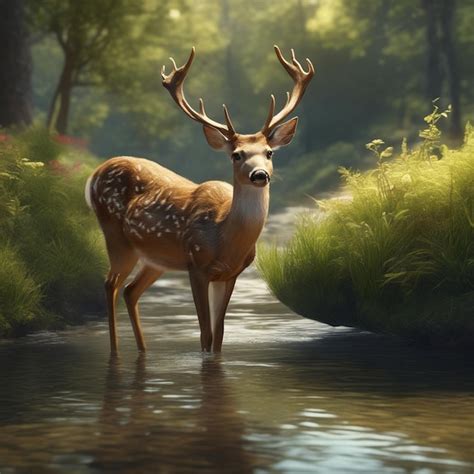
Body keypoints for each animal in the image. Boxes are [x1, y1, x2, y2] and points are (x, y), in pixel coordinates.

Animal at [85, 46, 314, 354]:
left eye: (269, 152)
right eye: (236, 154)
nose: (259, 175)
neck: (225, 238)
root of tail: (94, 175)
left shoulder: (230, 274)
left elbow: (218, 337)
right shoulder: (196, 265)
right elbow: (205, 335)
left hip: (156, 259)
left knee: (131, 291)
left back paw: (144, 350)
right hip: (117, 239)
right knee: (110, 284)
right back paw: (115, 351)